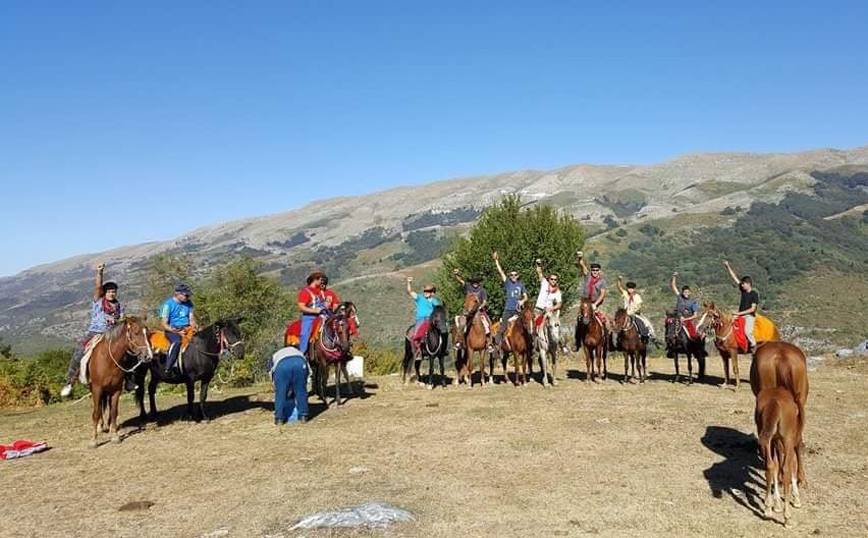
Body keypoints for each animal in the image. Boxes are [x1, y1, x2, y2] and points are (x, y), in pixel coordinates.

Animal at [85, 316, 153, 446]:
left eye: (147, 333)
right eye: (136, 333)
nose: (148, 356)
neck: (108, 360)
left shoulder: (116, 389)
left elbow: (114, 412)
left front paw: (115, 436)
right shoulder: (97, 388)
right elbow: (96, 413)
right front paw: (94, 441)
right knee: (99, 407)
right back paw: (101, 427)